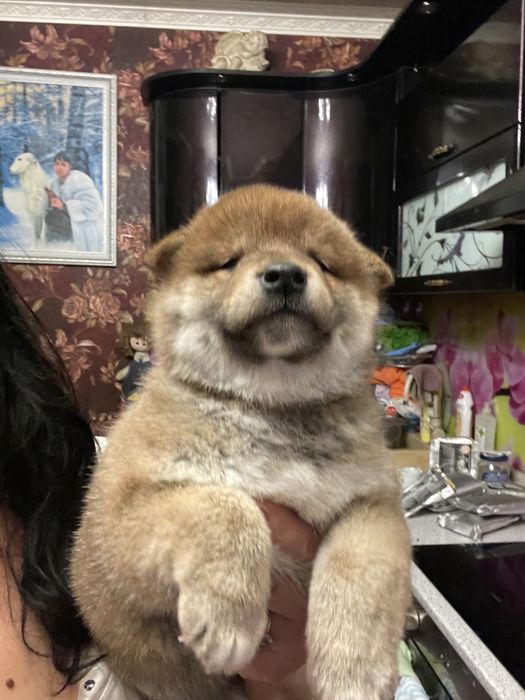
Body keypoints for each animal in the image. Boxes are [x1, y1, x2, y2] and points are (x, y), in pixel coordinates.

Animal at [71, 185, 411, 700]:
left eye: (322, 261)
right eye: (229, 261)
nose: (286, 273)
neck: (269, 407)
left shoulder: (373, 503)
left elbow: (359, 572)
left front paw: (355, 671)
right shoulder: (119, 521)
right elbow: (228, 507)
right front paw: (229, 621)